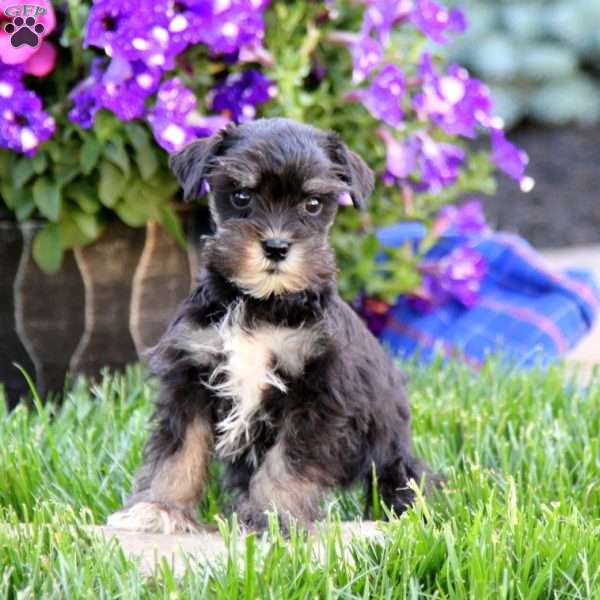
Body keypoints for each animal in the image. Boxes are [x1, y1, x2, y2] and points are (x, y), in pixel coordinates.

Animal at [106, 117, 432, 536]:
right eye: (242, 196)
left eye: (313, 204)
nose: (276, 247)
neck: (261, 304)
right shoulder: (191, 376)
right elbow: (179, 451)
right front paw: (160, 508)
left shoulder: (319, 393)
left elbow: (288, 462)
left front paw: (275, 517)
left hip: (390, 453)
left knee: (403, 477)